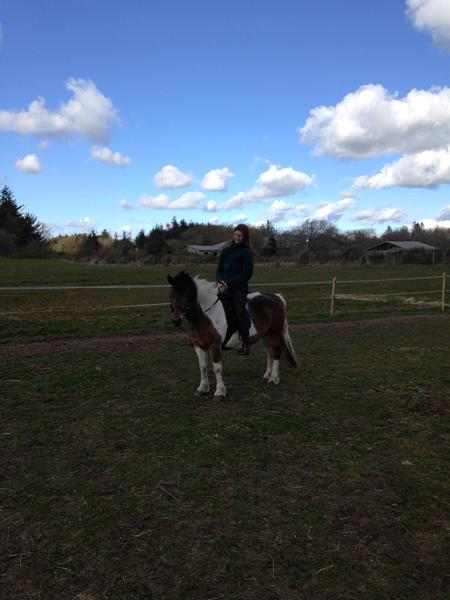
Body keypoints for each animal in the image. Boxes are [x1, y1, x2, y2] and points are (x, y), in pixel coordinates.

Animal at [167, 270, 298, 398]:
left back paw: (274, 378)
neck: (206, 316)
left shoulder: (215, 345)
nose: (176, 319)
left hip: (274, 333)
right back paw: (267, 375)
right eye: (171, 295)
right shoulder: (198, 345)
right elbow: (202, 366)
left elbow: (217, 368)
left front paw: (220, 392)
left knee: (276, 352)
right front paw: (202, 388)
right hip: (265, 335)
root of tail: (276, 297)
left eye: (187, 294)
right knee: (269, 352)